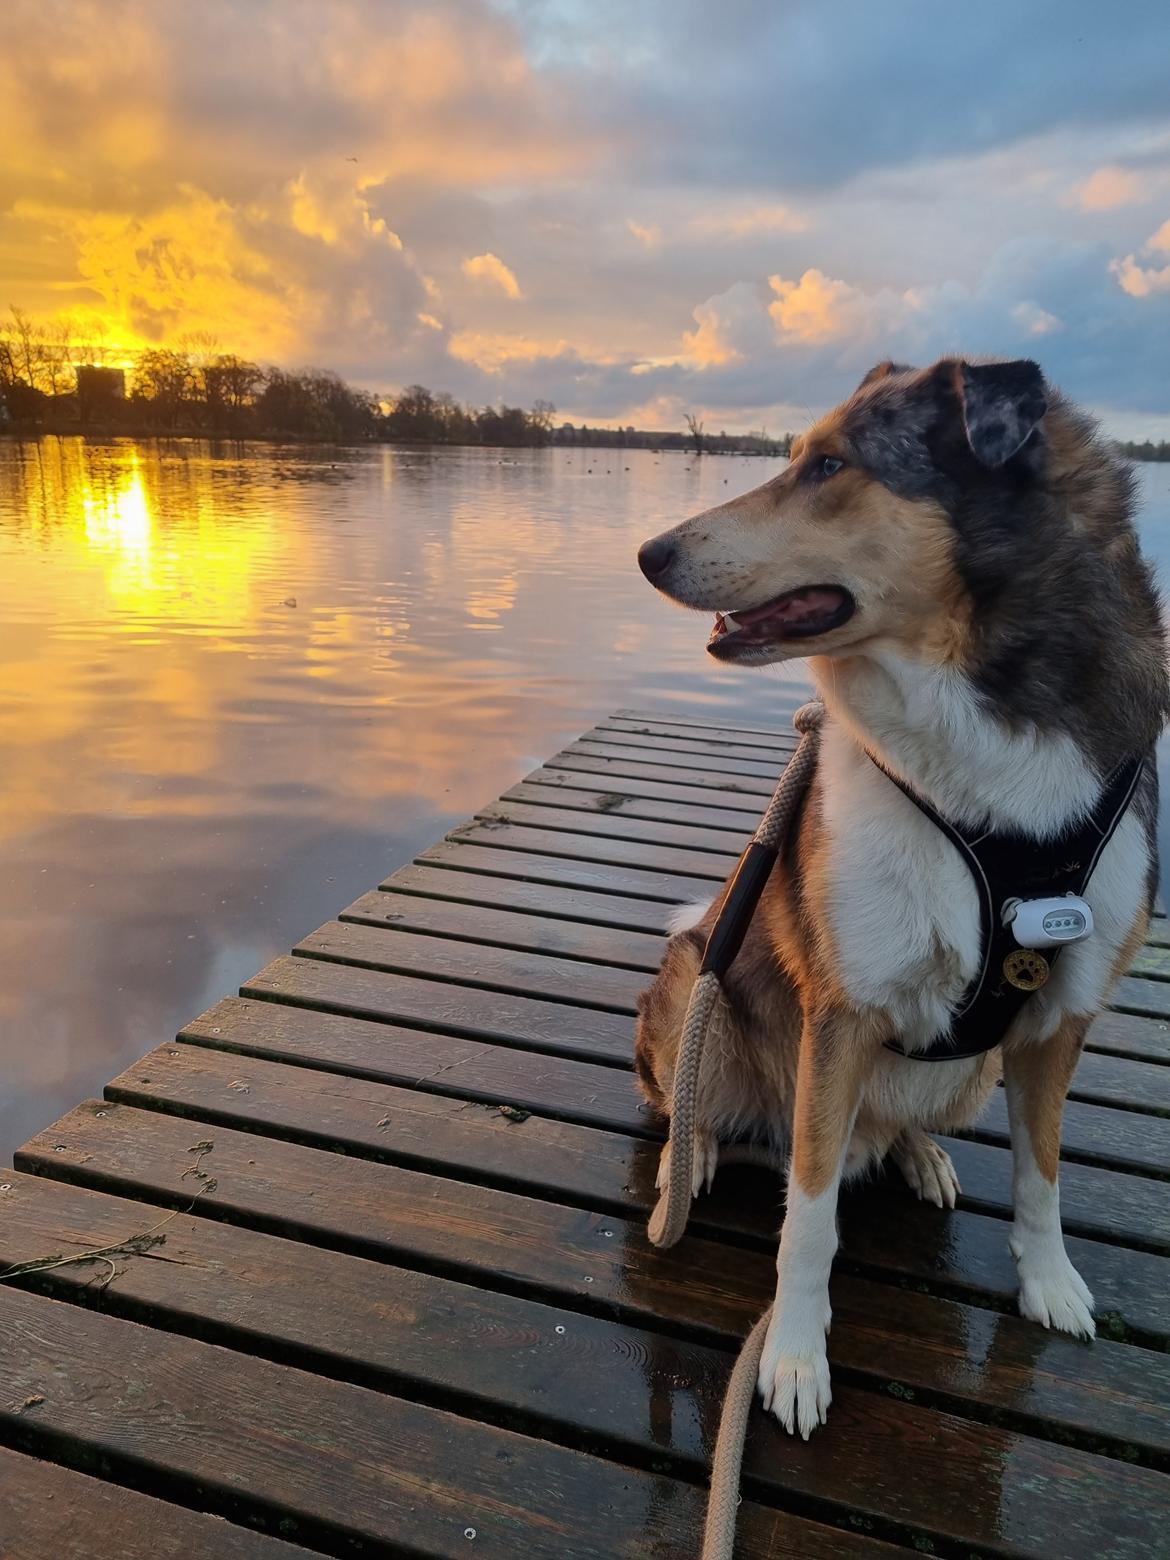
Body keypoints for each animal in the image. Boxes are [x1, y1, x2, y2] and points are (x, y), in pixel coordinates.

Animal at [636, 357, 1166, 1435]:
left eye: (831, 466)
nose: (648, 552)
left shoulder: (1060, 1015)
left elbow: (1045, 1172)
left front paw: (1049, 1284)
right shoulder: (842, 1013)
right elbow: (808, 1220)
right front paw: (795, 1358)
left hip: (973, 1070)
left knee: (893, 1124)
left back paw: (917, 1153)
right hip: (697, 971)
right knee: (700, 1104)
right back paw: (691, 1156)